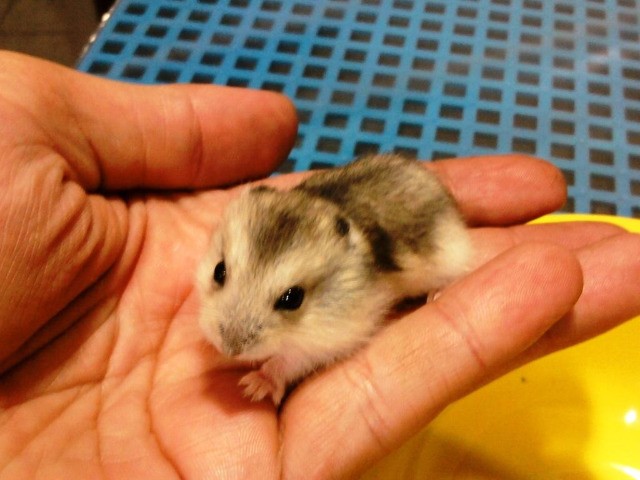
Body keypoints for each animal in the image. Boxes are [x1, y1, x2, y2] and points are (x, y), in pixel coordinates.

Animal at [196, 154, 472, 405]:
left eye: (293, 298)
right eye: (218, 271)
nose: (231, 349)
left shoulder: (329, 340)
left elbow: (288, 361)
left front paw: (252, 388)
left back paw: (436, 294)